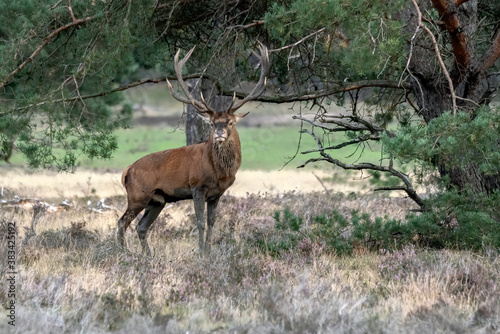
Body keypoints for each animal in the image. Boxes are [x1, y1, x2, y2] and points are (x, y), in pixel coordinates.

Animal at [116, 43, 270, 253]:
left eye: (230, 122)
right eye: (212, 123)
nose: (219, 133)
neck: (220, 172)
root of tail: (127, 171)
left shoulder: (216, 194)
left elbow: (212, 222)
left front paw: (210, 251)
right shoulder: (197, 187)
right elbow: (200, 222)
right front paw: (201, 252)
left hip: (157, 200)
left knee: (141, 226)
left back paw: (146, 255)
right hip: (137, 195)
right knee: (122, 222)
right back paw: (123, 252)